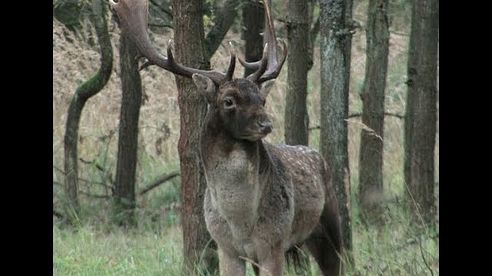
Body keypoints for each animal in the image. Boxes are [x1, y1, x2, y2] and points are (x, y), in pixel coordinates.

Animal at [109, 0, 344, 274]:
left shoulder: (273, 243)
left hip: (330, 222)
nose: (266, 124)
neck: (240, 222)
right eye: (229, 100)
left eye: (262, 100)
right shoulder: (226, 247)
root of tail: (319, 156)